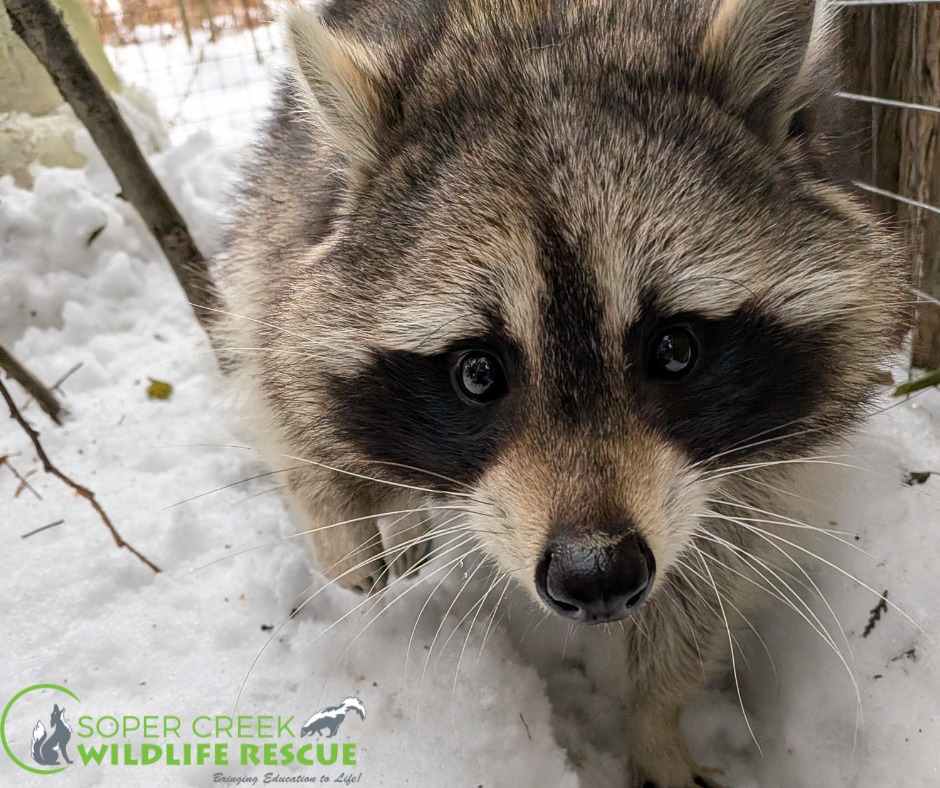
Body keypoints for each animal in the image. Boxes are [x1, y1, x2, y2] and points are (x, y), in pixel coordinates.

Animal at [215, 0, 908, 785]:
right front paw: (329, 503)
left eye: (675, 349)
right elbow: (272, 342)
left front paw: (657, 721)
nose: (597, 575)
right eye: (477, 372)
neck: (539, 38)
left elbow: (713, 570)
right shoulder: (297, 214)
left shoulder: (754, 454)